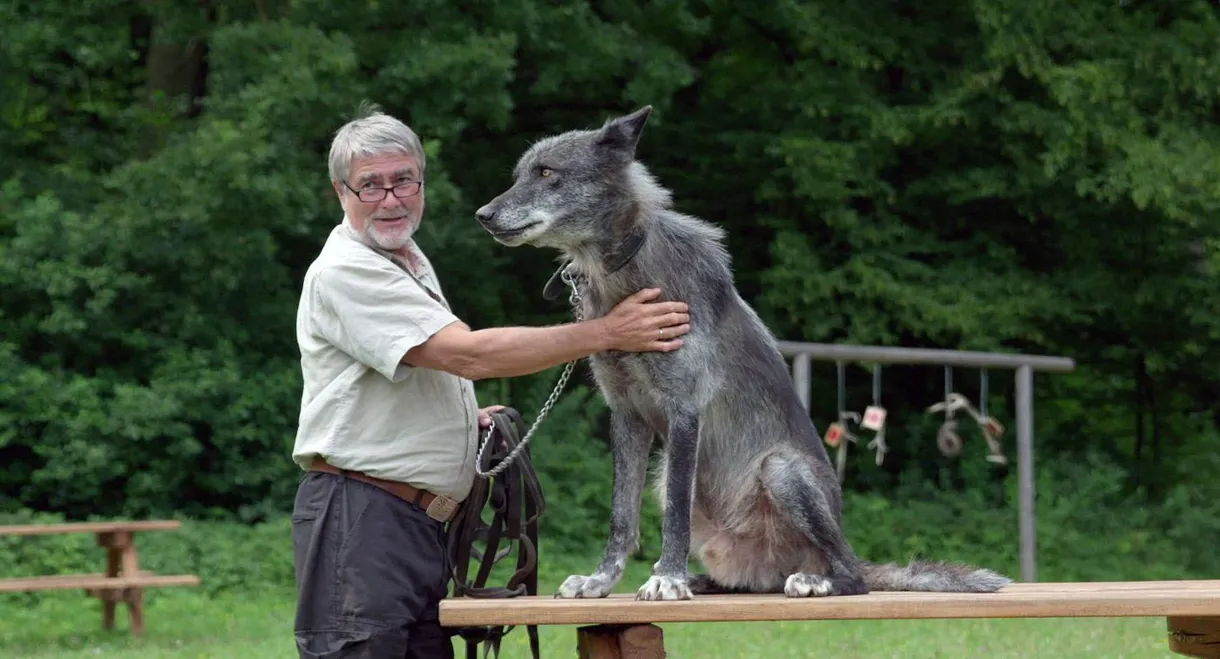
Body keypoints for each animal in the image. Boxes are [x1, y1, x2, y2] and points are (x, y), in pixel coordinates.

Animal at [473, 106, 1011, 601]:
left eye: (548, 173)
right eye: (520, 174)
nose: (483, 215)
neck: (626, 272)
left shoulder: (684, 414)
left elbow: (672, 518)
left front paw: (667, 579)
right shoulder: (627, 418)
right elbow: (621, 517)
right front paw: (603, 581)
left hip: (779, 469)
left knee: (852, 574)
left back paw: (814, 581)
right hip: (673, 480)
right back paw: (705, 580)